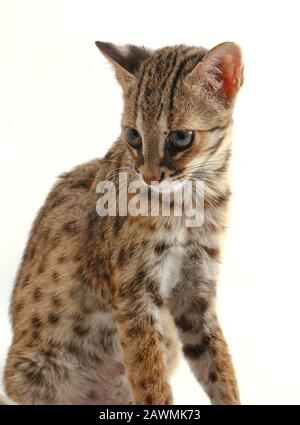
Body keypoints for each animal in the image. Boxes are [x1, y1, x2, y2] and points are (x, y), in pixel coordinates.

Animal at [2, 40, 244, 404]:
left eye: (181, 137)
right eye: (133, 135)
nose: (149, 177)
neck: (191, 200)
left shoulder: (196, 292)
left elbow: (219, 365)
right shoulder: (133, 295)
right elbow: (151, 382)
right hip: (33, 367)